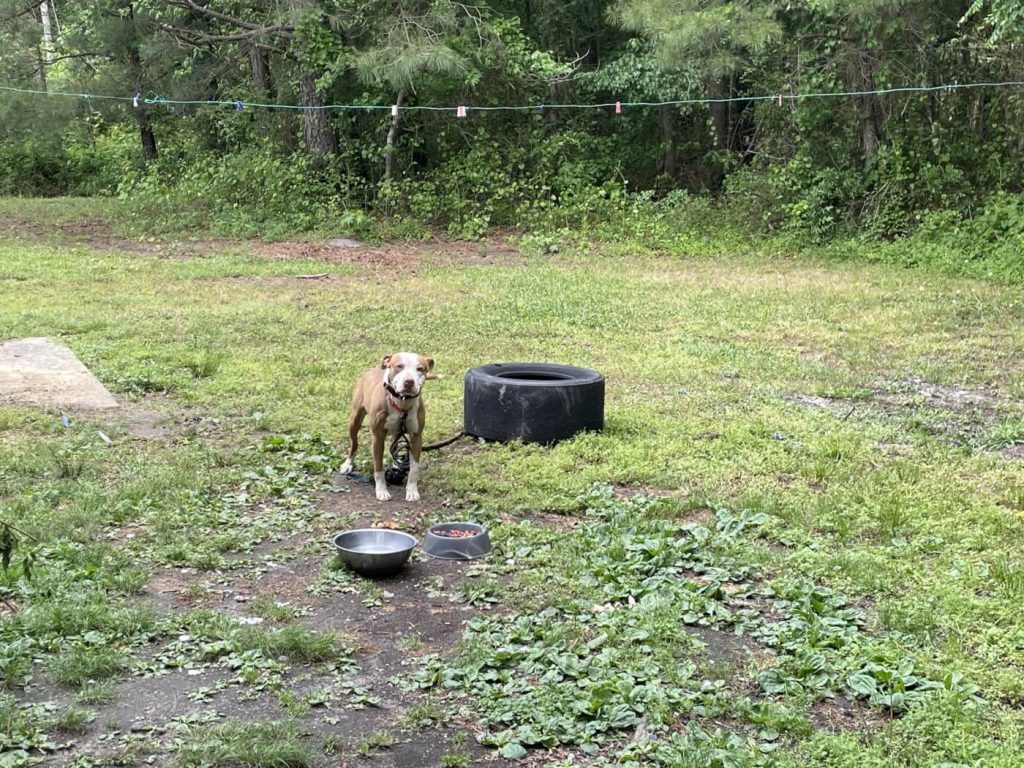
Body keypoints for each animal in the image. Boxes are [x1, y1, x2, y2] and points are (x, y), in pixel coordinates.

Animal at [337, 354, 430, 501]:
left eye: (420, 369)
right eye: (399, 366)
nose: (409, 382)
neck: (401, 403)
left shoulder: (416, 438)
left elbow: (414, 468)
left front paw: (412, 491)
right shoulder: (378, 437)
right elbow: (378, 467)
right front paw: (381, 491)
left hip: (397, 431)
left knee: (395, 446)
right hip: (354, 420)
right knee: (354, 444)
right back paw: (348, 464)